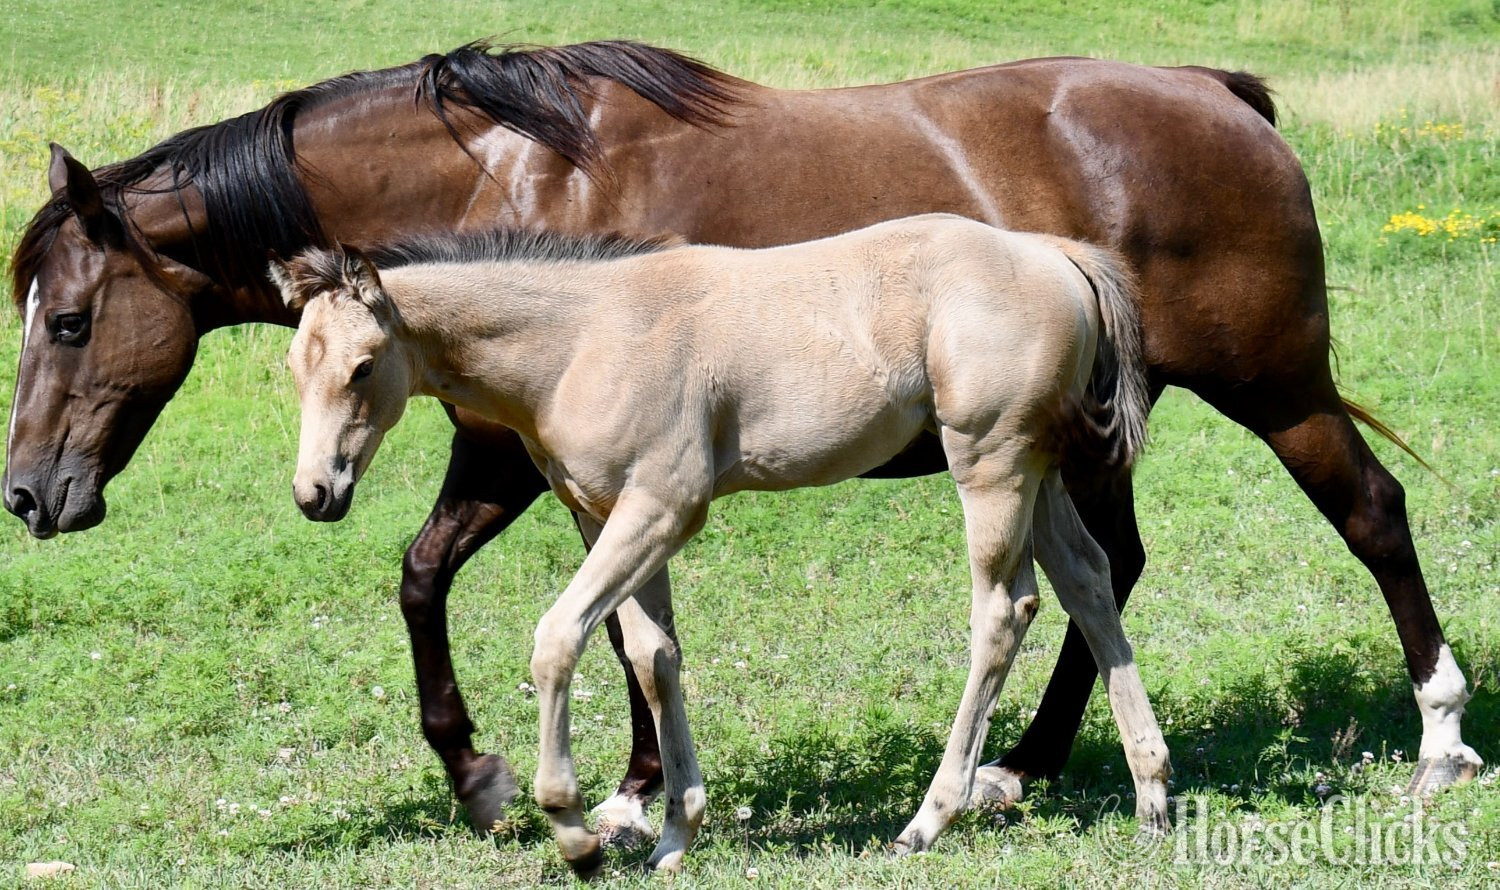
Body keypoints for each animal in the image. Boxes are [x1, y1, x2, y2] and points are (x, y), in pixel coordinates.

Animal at [271, 215, 1170, 875]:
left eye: (361, 367)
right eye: (292, 367)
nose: (315, 494)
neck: (580, 339)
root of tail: (1054, 253)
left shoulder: (665, 507)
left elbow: (559, 638)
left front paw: (574, 831)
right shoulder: (604, 514)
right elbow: (652, 656)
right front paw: (674, 836)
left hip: (990, 463)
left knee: (1005, 610)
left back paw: (926, 820)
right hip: (1038, 469)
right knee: (1090, 580)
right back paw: (1153, 798)